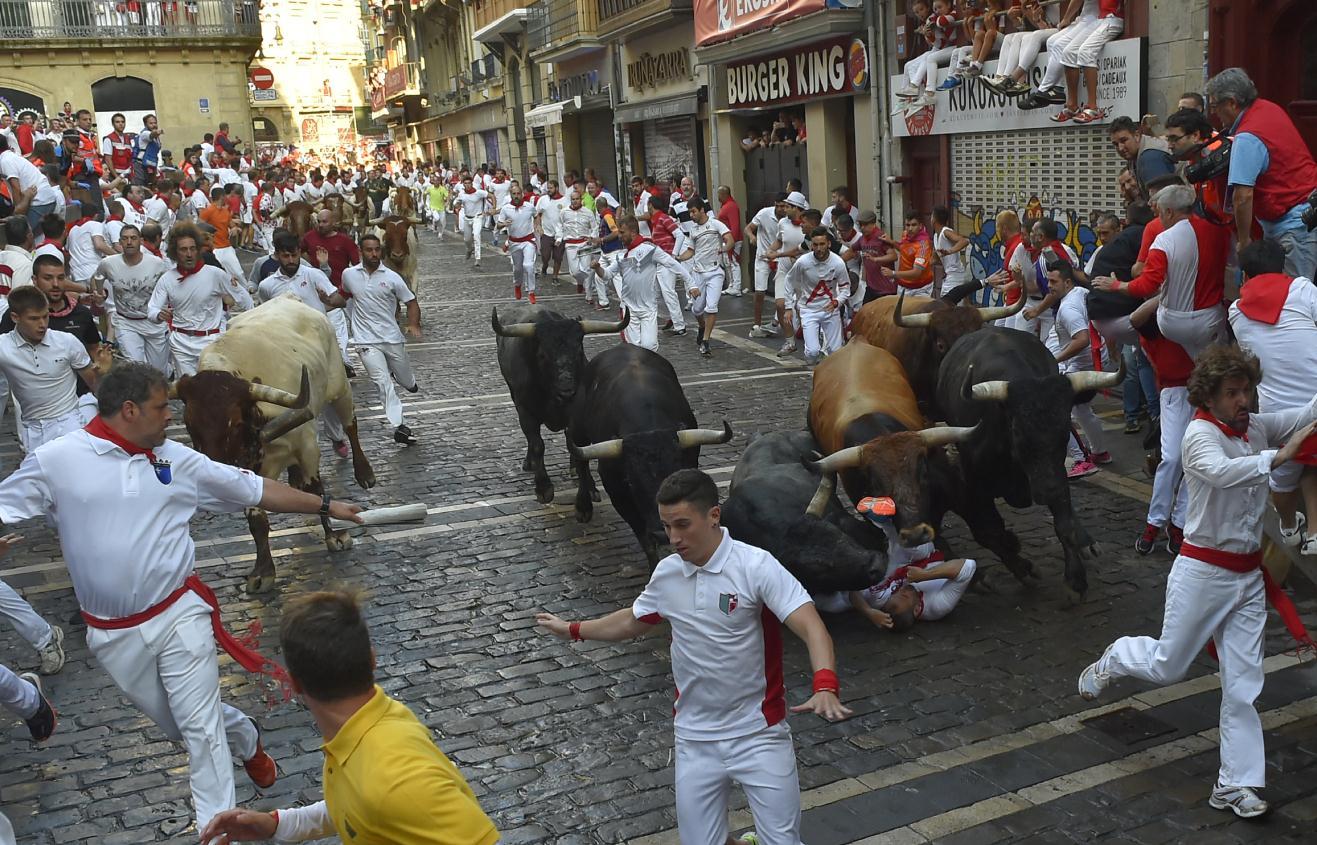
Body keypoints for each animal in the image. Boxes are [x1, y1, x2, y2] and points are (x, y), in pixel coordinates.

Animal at [492, 302, 629, 500]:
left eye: (579, 352)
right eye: (542, 355)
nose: (567, 392)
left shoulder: (576, 413)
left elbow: (579, 446)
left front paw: (589, 486)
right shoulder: (525, 412)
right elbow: (537, 444)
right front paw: (543, 487)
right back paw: (529, 463)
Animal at [563, 342, 737, 565]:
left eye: (673, 477)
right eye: (630, 482)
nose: (662, 534)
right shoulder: (616, 488)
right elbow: (643, 536)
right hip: (577, 428)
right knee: (580, 459)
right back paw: (583, 506)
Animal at [937, 323, 1122, 600]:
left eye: (1065, 429)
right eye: (1017, 431)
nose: (1047, 492)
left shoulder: (1055, 473)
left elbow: (1064, 524)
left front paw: (1075, 579)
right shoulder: (973, 485)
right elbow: (988, 532)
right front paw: (1022, 567)